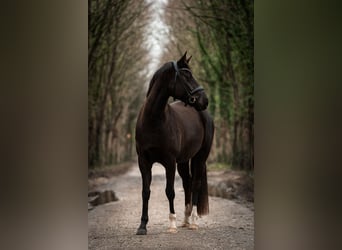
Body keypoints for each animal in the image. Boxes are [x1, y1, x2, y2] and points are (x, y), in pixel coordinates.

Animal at [134, 51, 212, 234]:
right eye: (186, 75)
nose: (204, 100)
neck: (154, 120)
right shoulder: (143, 161)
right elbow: (146, 191)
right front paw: (142, 225)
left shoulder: (169, 162)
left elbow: (170, 191)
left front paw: (172, 224)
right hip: (183, 161)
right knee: (187, 183)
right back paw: (186, 220)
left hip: (200, 157)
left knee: (196, 183)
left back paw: (194, 221)